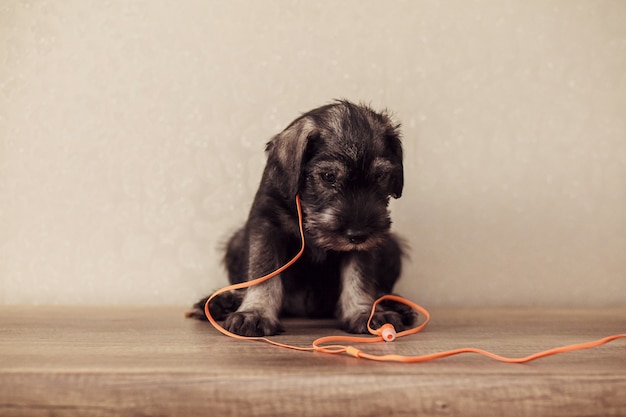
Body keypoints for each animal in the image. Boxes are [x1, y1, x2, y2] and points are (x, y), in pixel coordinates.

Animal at [190, 101, 414, 338]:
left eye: (380, 176)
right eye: (329, 177)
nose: (358, 234)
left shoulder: (365, 247)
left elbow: (359, 276)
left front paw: (364, 312)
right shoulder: (267, 224)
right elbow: (264, 272)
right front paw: (255, 312)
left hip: (391, 246)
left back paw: (395, 306)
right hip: (236, 242)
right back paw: (221, 303)